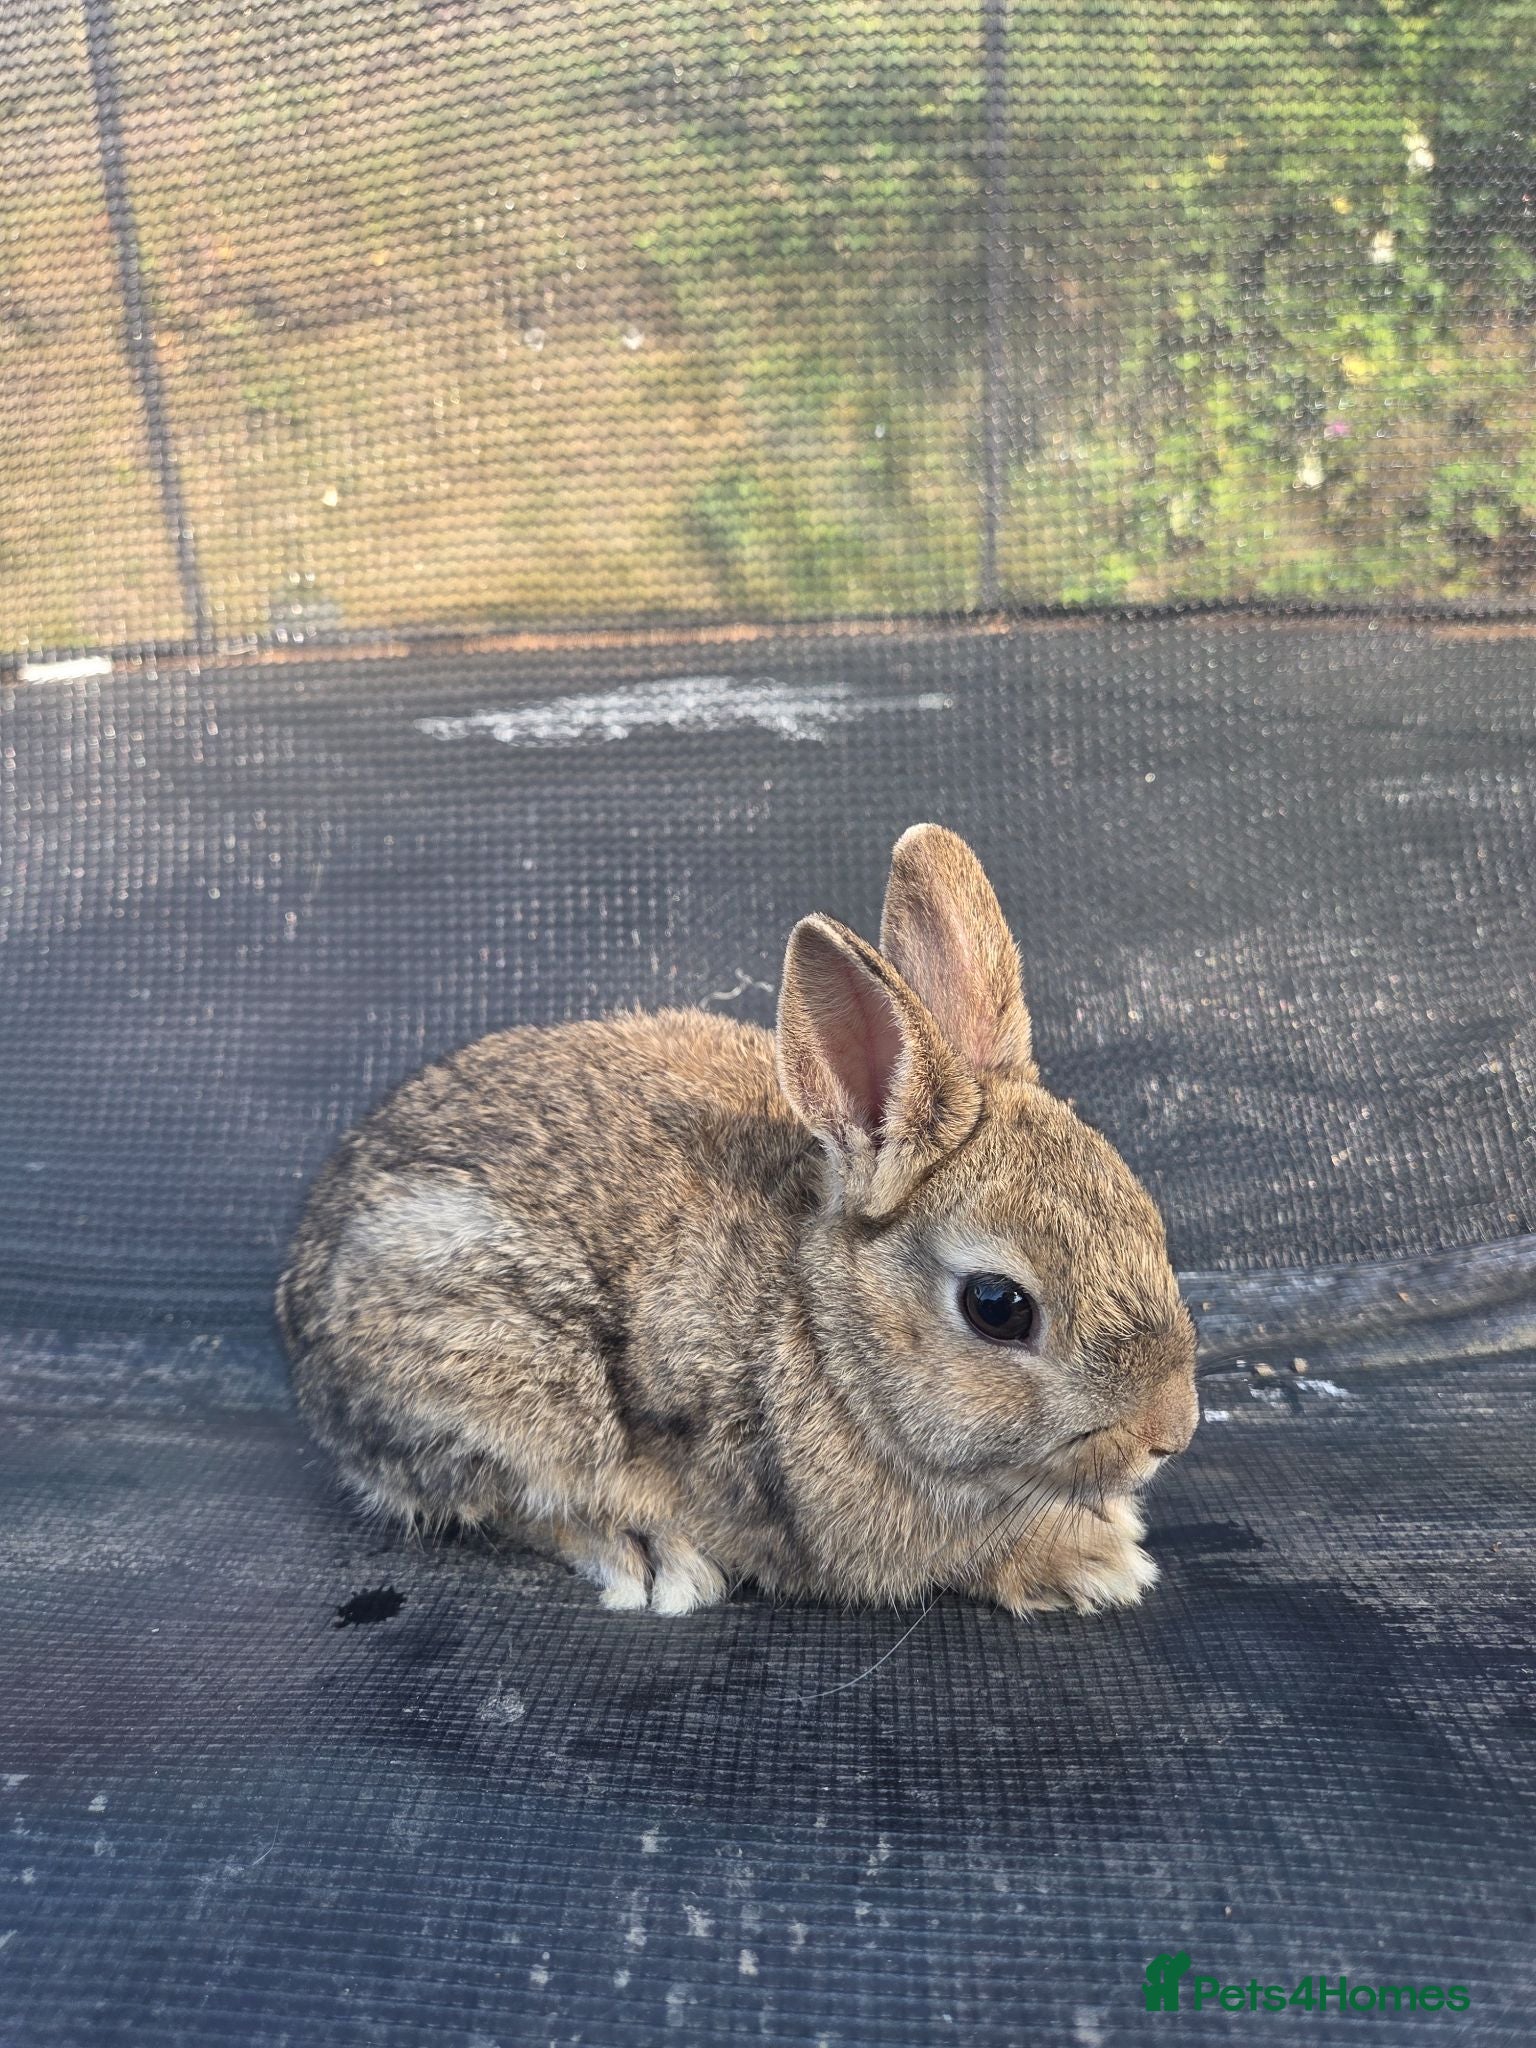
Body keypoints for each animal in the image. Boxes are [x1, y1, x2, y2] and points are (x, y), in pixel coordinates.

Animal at [278, 824, 1197, 1618]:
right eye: (998, 1308)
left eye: (1146, 1220)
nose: (1171, 1433)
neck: (831, 1342)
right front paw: (1093, 1560)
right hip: (496, 1377)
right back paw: (648, 1555)